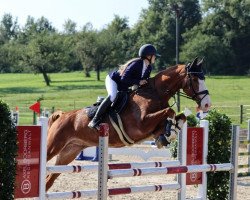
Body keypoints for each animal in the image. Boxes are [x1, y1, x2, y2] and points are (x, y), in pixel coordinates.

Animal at [45, 57, 211, 190]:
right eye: (195, 80)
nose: (207, 105)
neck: (154, 93)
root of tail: (62, 116)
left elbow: (179, 117)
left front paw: (170, 133)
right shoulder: (141, 125)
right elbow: (169, 112)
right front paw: (169, 133)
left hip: (69, 152)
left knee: (49, 179)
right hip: (54, 146)